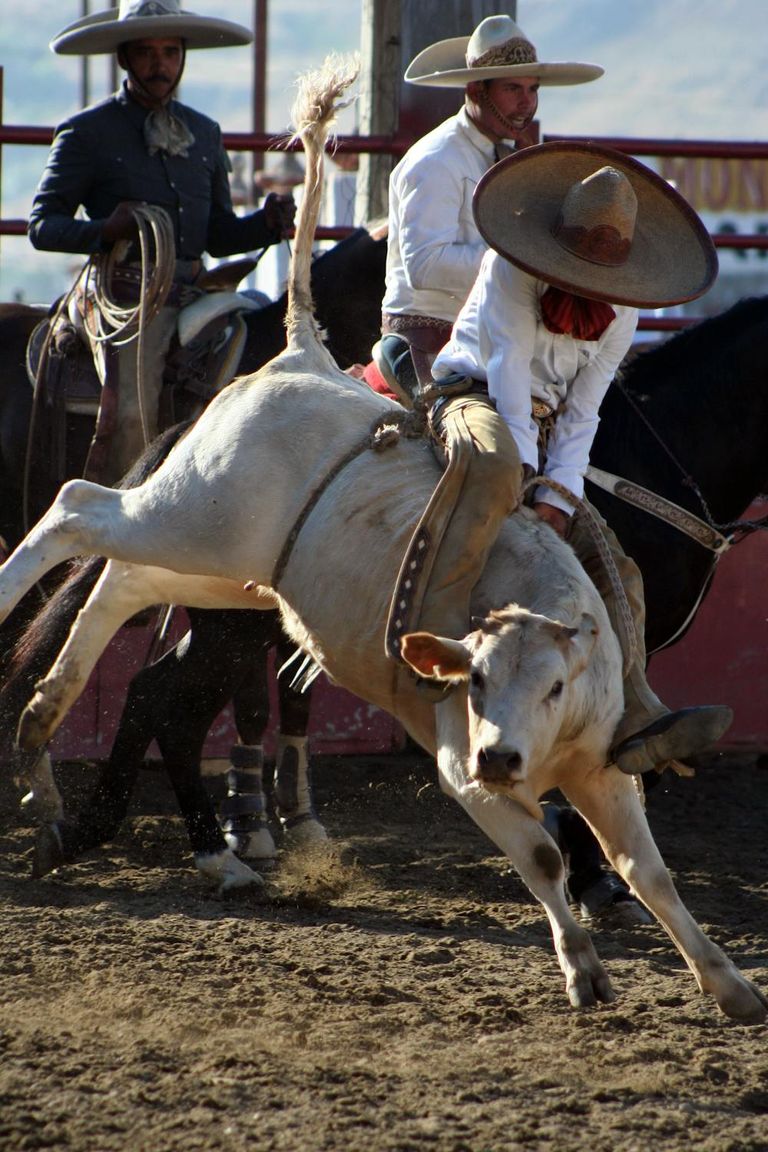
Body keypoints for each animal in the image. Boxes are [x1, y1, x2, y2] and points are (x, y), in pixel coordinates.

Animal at [0, 58, 764, 1022]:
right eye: (473, 680)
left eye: (557, 684)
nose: (502, 753)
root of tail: (297, 353)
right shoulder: (463, 772)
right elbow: (547, 854)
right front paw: (584, 963)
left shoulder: (603, 767)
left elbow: (650, 869)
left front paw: (727, 983)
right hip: (194, 522)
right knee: (77, 511)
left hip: (222, 566)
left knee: (124, 586)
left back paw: (48, 746)